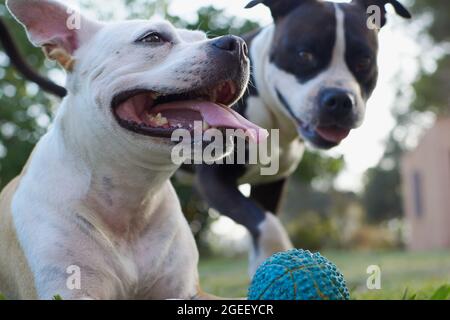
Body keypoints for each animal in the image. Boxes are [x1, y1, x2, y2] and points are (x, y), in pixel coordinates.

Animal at [0, 0, 264, 300]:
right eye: (152, 38)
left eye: (201, 37)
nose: (237, 44)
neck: (131, 196)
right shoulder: (67, 288)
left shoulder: (187, 291)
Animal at [195, 0, 410, 276]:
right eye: (304, 54)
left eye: (364, 61)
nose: (339, 100)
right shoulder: (213, 180)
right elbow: (268, 224)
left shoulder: (270, 184)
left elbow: (262, 224)